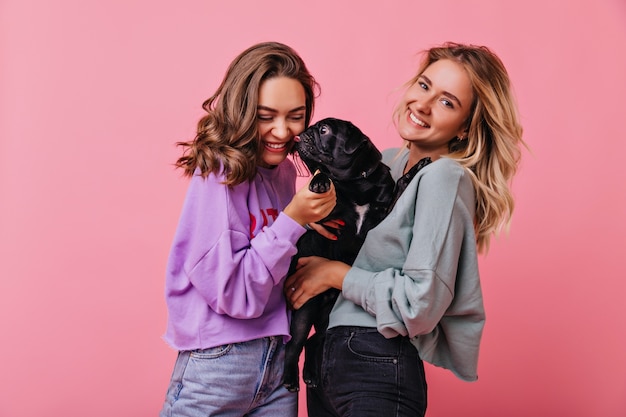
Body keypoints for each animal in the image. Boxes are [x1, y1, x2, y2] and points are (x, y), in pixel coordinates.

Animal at [282, 117, 392, 390]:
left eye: (324, 130)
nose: (304, 132)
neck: (356, 182)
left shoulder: (382, 215)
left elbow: (393, 194)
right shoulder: (324, 216)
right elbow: (324, 177)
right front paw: (320, 181)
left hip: (326, 317)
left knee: (314, 341)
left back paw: (311, 374)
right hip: (306, 309)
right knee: (295, 343)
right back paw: (290, 378)